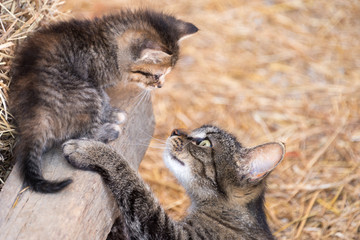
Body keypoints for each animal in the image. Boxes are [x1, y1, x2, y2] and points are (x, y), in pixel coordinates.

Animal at [8, 8, 198, 193]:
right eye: (157, 75)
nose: (160, 86)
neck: (107, 43)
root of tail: (33, 120)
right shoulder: (94, 81)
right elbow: (103, 98)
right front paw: (112, 114)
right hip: (85, 94)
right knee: (84, 134)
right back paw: (109, 130)